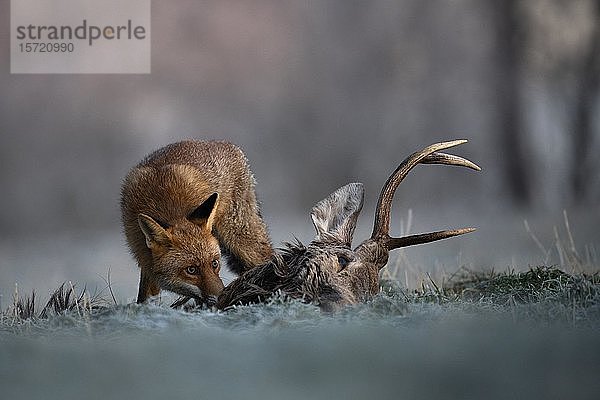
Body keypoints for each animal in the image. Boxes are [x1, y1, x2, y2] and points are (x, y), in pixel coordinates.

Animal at [120, 141, 274, 304]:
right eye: (191, 270)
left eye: (214, 263)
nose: (222, 298)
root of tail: (228, 144)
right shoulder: (145, 258)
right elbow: (146, 296)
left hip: (242, 240)